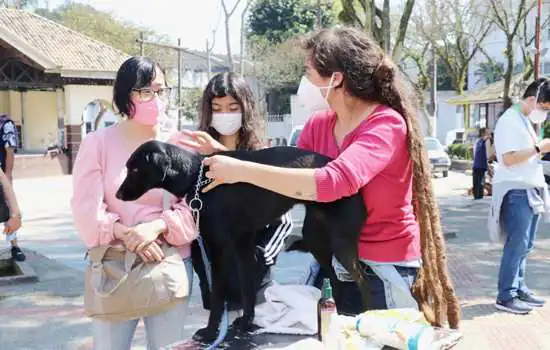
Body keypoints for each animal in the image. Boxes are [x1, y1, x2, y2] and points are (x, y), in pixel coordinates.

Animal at [117, 139, 374, 342]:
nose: (118, 195)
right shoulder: (243, 243)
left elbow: (219, 296)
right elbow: (246, 287)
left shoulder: (218, 247)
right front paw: (246, 323)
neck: (198, 176)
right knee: (336, 279)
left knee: (363, 280)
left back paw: (368, 317)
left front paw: (210, 332)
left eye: (135, 169)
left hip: (340, 242)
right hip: (316, 239)